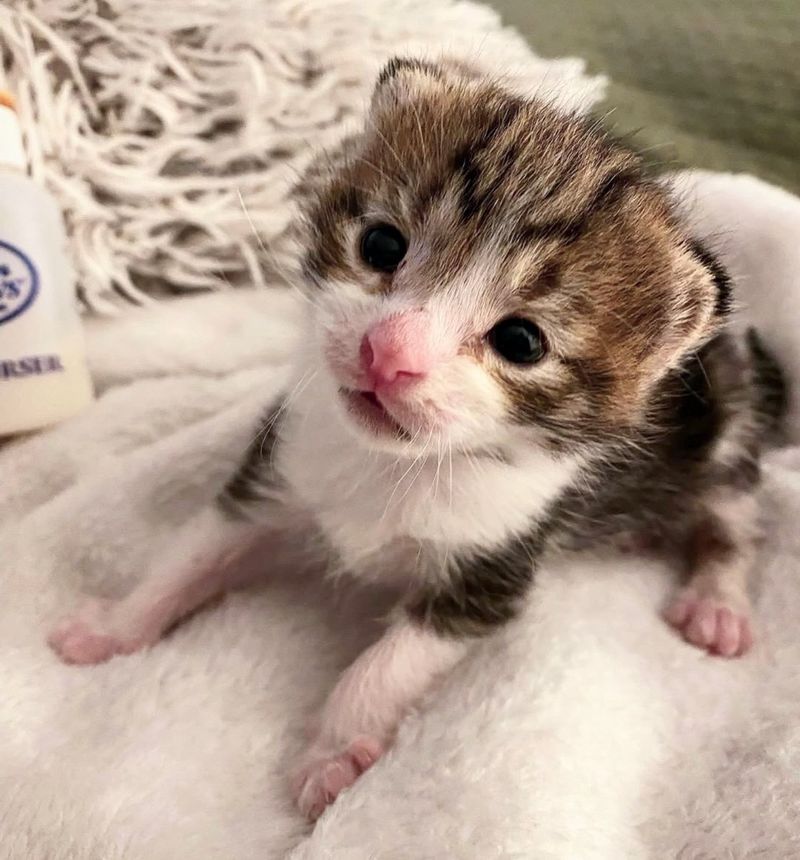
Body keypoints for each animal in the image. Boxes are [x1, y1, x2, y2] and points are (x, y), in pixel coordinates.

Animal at [47, 60, 784, 820]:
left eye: (522, 341)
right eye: (382, 245)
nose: (387, 353)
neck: (398, 465)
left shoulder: (493, 564)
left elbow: (385, 664)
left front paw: (334, 755)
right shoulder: (279, 466)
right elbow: (191, 554)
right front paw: (114, 627)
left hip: (731, 419)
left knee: (736, 515)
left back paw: (718, 602)